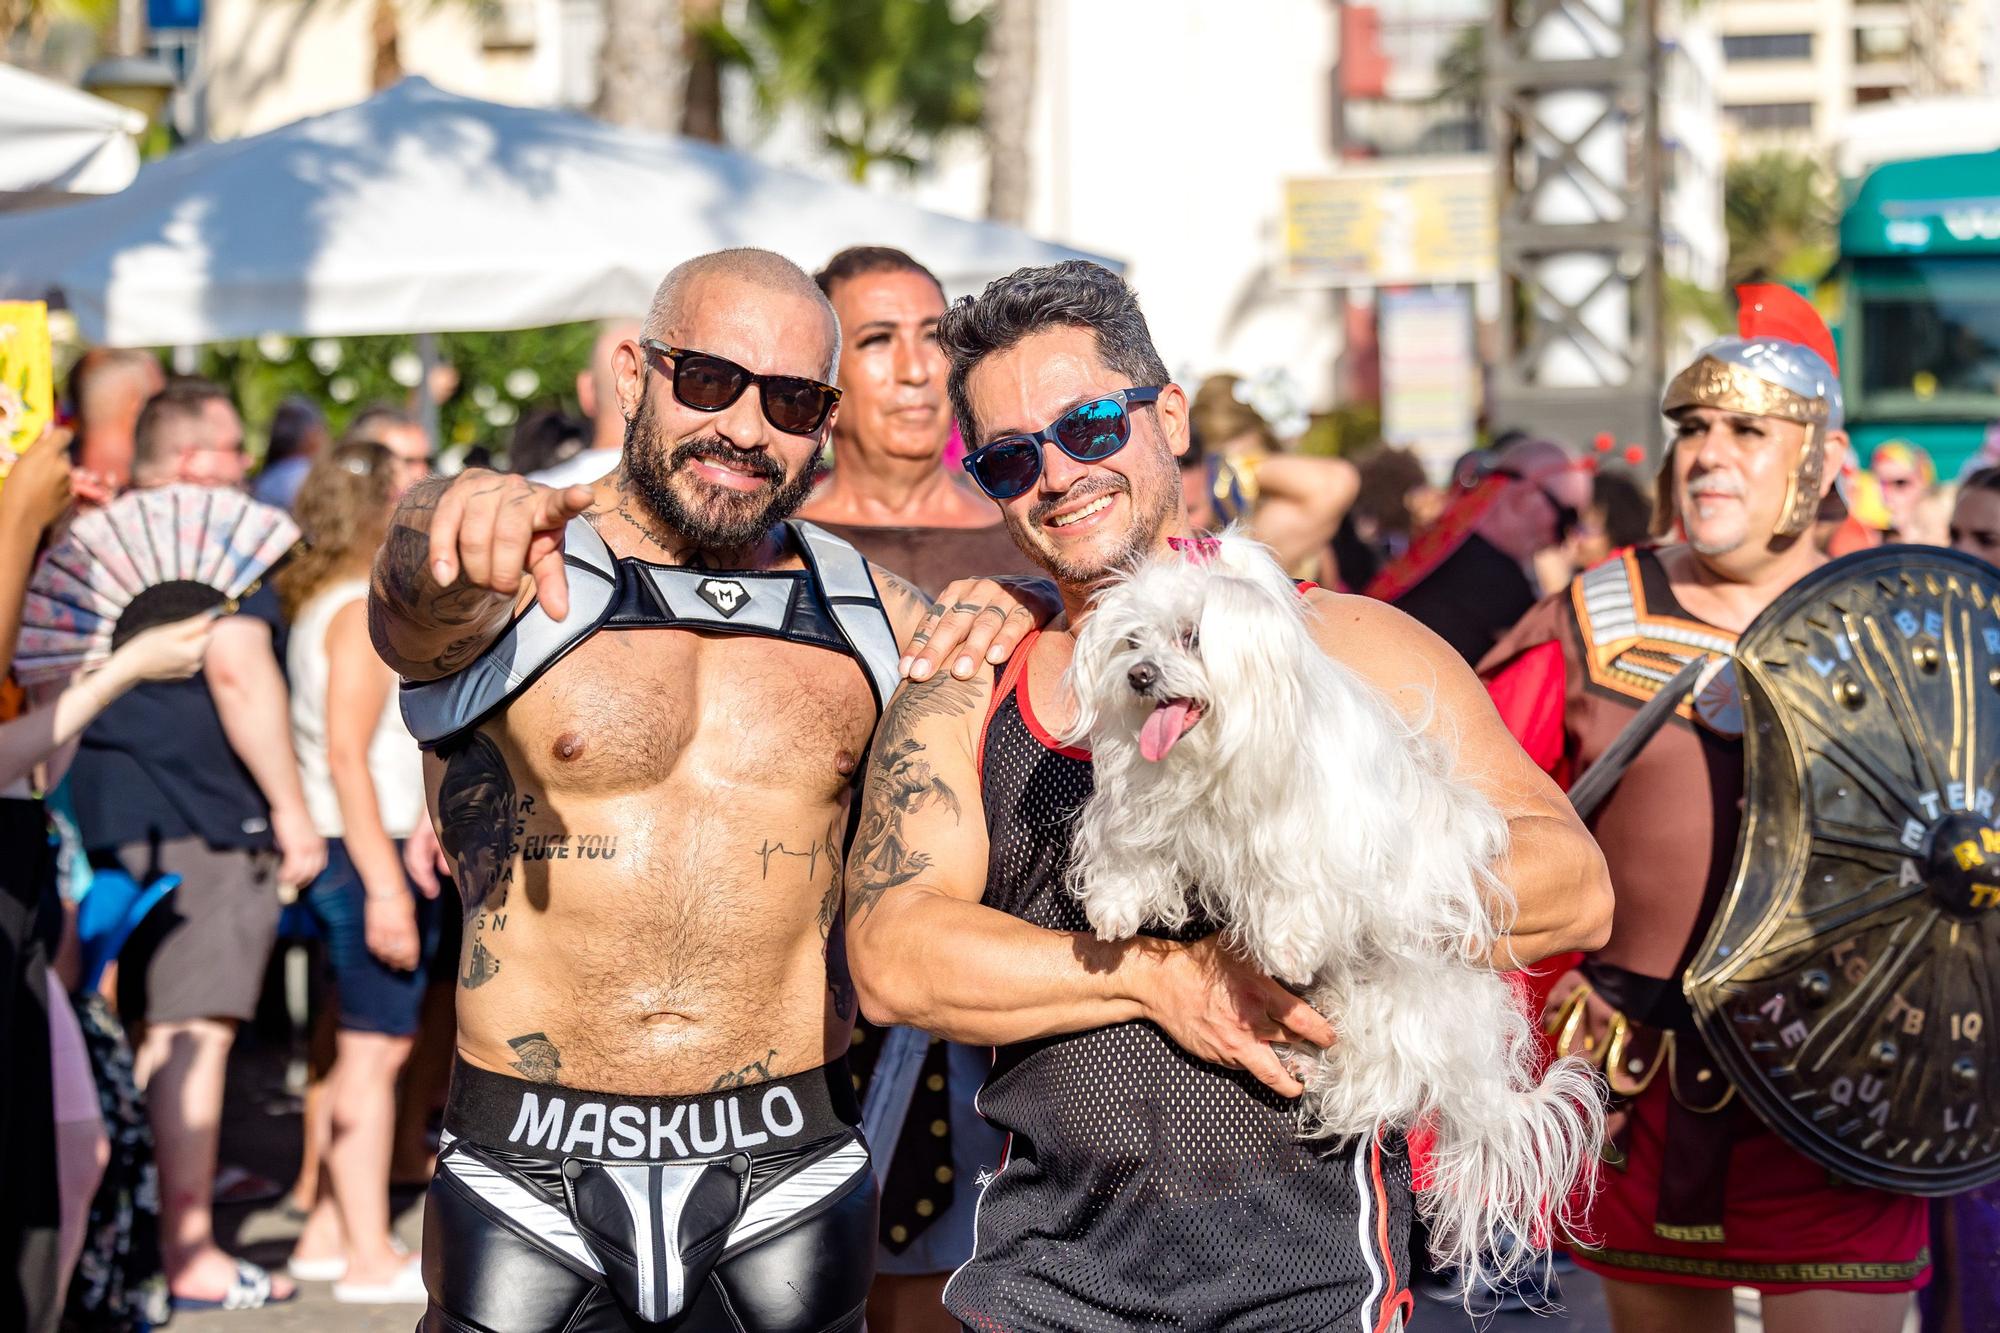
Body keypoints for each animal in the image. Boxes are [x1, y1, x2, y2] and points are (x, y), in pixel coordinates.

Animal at [1072, 528, 1600, 1288]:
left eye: (1192, 635)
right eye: (1131, 639)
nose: (1139, 676)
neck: (1220, 757)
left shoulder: (1323, 828)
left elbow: (1300, 880)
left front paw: (1289, 943)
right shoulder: (1152, 804)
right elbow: (1131, 847)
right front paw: (1114, 904)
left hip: (1403, 1002)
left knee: (1383, 1074)